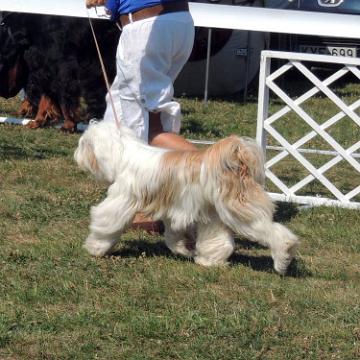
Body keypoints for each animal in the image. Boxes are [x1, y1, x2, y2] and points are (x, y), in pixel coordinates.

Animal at [74, 120, 298, 272]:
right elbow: (174, 236)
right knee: (219, 242)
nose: (76, 155)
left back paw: (283, 256)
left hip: (239, 210)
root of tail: (237, 159)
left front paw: (95, 247)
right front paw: (184, 250)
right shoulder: (176, 211)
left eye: (83, 144)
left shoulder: (121, 200)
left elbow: (105, 221)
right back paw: (208, 261)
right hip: (214, 216)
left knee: (271, 231)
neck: (124, 153)